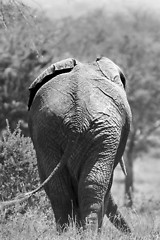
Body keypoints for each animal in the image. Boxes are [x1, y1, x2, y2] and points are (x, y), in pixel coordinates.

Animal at [27, 56, 132, 234]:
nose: (133, 233)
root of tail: (77, 117)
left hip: (48, 131)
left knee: (61, 189)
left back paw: (66, 234)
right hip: (102, 132)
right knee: (94, 184)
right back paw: (89, 233)